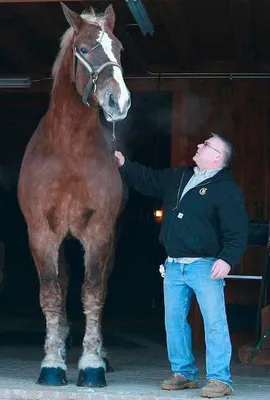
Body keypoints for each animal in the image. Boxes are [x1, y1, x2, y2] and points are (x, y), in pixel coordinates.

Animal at [17, 1, 131, 386]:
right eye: (83, 49)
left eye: (119, 49)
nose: (119, 101)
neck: (69, 150)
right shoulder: (41, 233)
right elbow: (51, 294)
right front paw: (52, 363)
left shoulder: (99, 232)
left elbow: (93, 293)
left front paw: (92, 363)